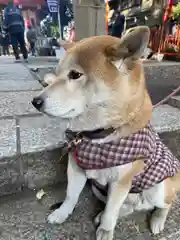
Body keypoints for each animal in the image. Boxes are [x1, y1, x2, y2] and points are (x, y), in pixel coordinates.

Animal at [31, 26, 180, 240]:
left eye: (75, 74)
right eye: (56, 74)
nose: (35, 101)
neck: (97, 135)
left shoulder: (121, 182)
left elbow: (112, 211)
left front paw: (106, 230)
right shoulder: (76, 167)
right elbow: (71, 196)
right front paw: (61, 213)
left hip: (160, 188)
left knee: (164, 204)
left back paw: (157, 220)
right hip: (99, 189)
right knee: (126, 208)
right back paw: (102, 215)